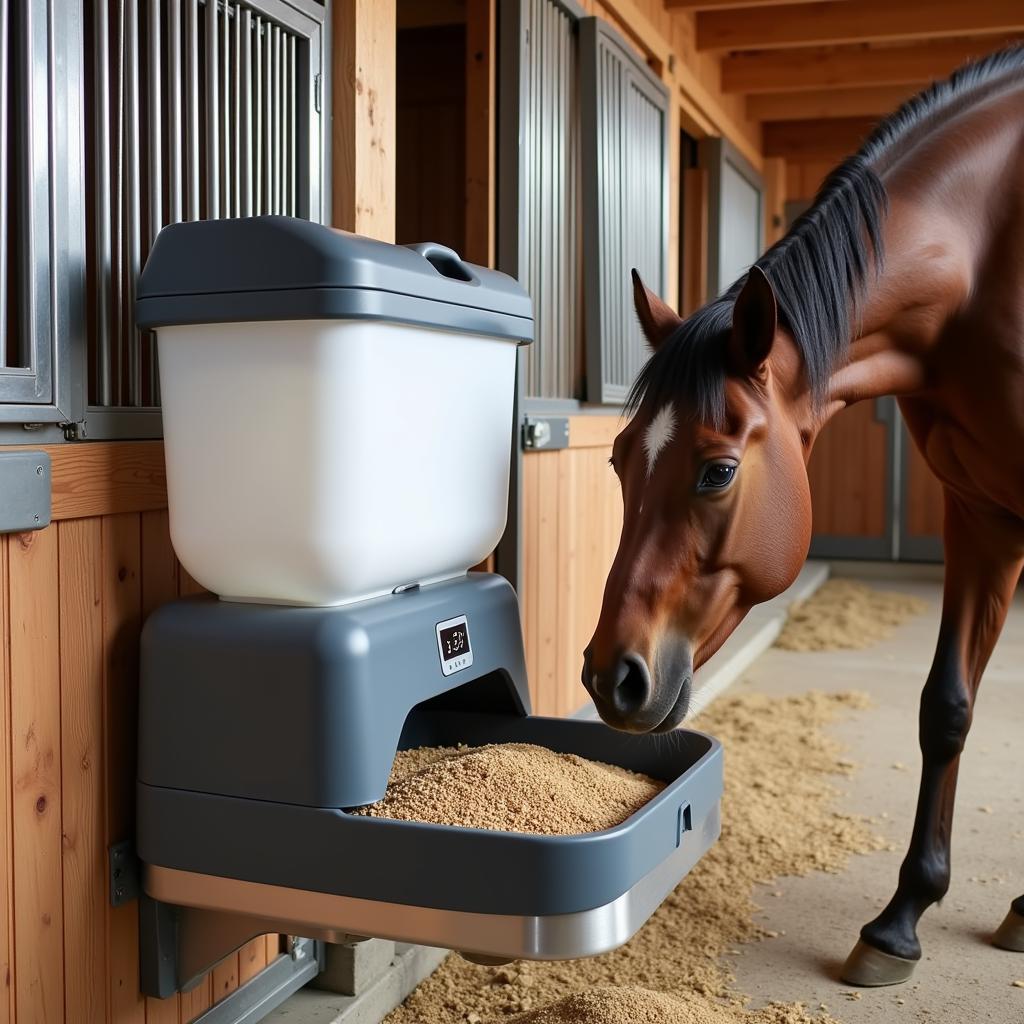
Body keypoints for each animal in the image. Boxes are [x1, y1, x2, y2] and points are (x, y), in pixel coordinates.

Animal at [581, 46, 1024, 983]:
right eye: (617, 457)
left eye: (717, 470)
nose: (612, 677)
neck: (990, 250)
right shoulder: (981, 515)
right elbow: (948, 706)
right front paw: (901, 918)